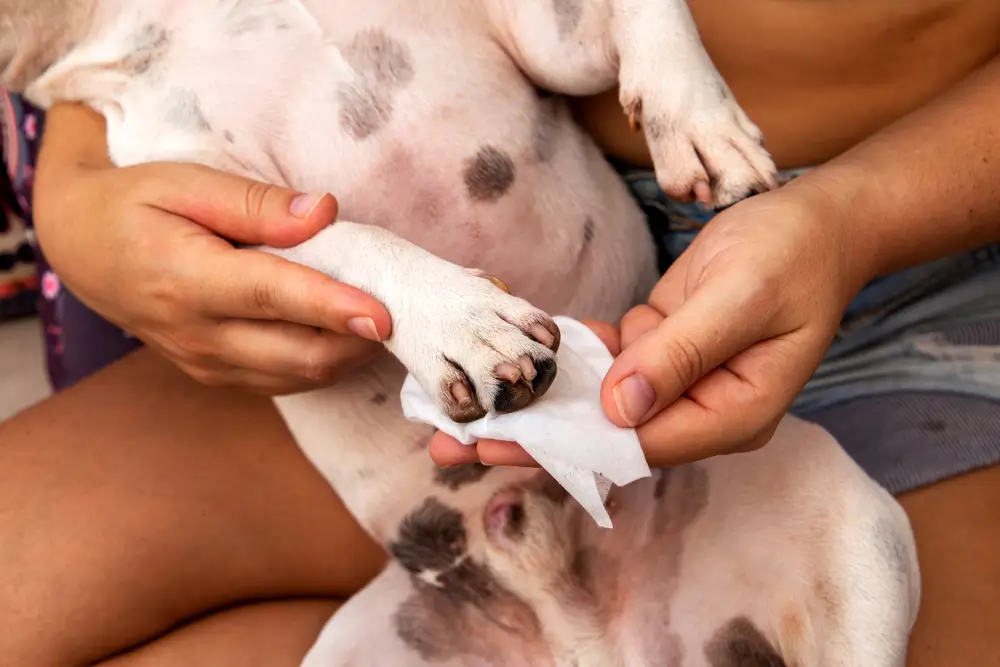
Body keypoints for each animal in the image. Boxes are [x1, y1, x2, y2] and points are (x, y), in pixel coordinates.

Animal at [1, 0, 920, 664]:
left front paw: (694, 115)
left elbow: (640, 8)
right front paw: (460, 319)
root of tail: (582, 629)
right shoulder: (219, 200)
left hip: (849, 529)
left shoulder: (545, 35)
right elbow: (347, 236)